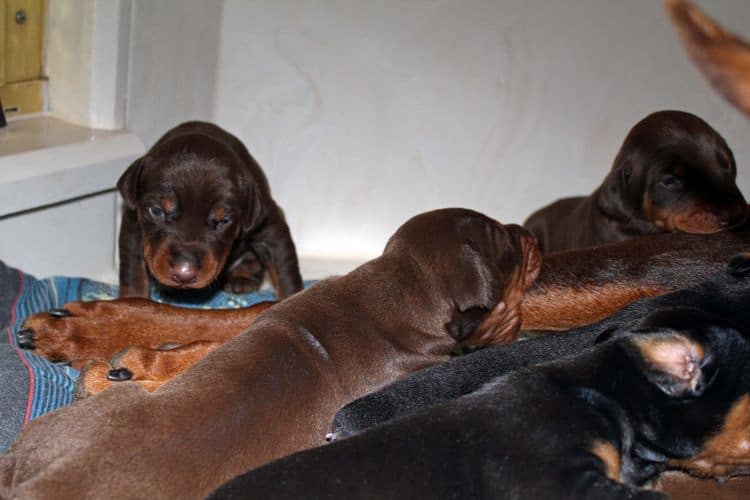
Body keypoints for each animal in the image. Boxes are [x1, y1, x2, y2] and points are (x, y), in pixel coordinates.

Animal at [119, 120, 304, 298]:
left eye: (224, 220)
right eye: (156, 211)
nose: (184, 273)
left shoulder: (269, 225)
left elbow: (285, 269)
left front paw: (292, 298)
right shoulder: (133, 224)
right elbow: (133, 270)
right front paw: (132, 300)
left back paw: (242, 278)